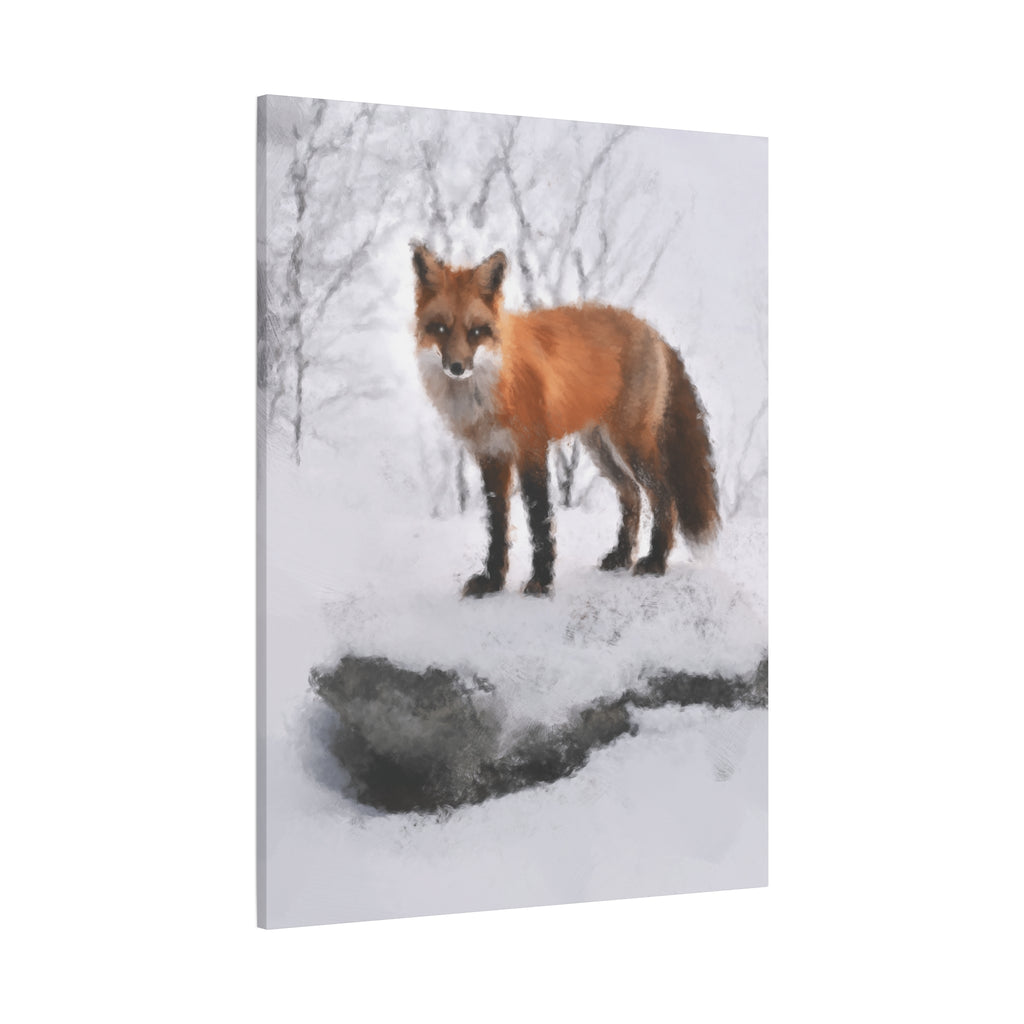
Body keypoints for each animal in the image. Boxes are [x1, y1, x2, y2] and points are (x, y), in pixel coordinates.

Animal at [412, 242, 719, 598]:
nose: (457, 367)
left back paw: (655, 561)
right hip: (601, 450)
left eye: (476, 331)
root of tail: (651, 330)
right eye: (441, 328)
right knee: (631, 496)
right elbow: (497, 524)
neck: (489, 388)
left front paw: (541, 581)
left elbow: (539, 518)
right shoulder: (491, 455)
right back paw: (621, 556)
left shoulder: (531, 448)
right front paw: (492, 581)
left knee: (663, 497)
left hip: (631, 445)